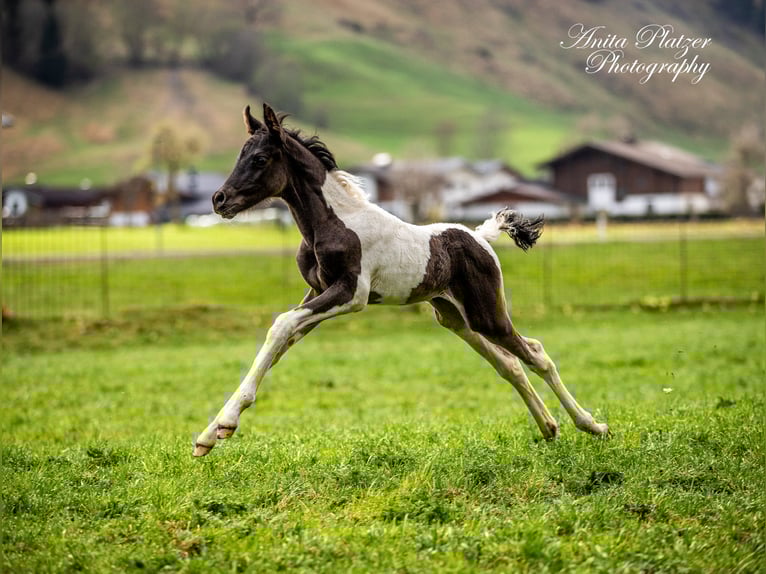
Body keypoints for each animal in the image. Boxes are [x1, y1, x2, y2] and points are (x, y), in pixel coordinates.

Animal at [193, 103, 609, 457]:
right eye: (240, 155)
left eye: (260, 158)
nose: (218, 199)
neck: (333, 222)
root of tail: (480, 236)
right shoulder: (316, 291)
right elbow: (281, 341)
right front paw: (208, 435)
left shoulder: (351, 294)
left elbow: (280, 326)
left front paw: (225, 424)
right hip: (457, 318)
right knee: (510, 365)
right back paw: (549, 428)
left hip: (488, 314)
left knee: (536, 354)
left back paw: (592, 425)